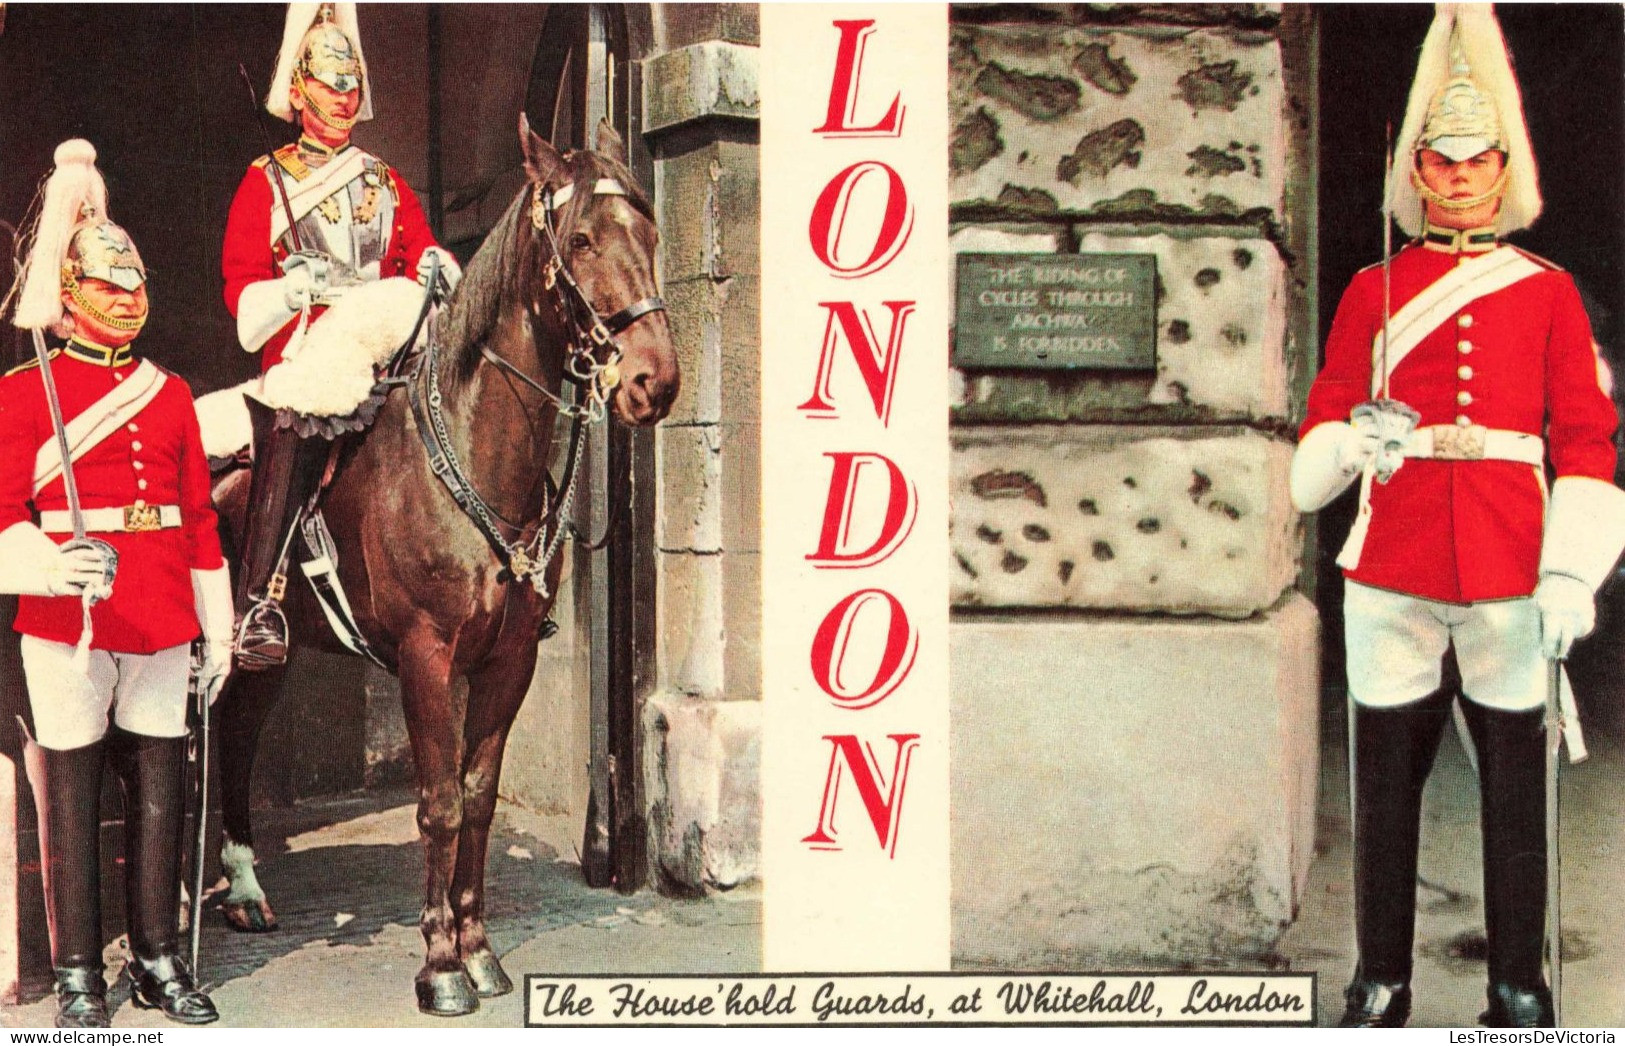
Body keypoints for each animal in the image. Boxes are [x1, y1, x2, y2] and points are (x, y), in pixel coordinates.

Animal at [206, 118, 676, 1020]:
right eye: (580, 239)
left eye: (650, 233)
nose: (653, 381)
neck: (473, 449)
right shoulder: (426, 658)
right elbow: (438, 804)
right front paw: (440, 965)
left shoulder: (508, 659)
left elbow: (480, 797)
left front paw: (480, 951)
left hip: (270, 661)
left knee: (237, 738)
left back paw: (244, 891)